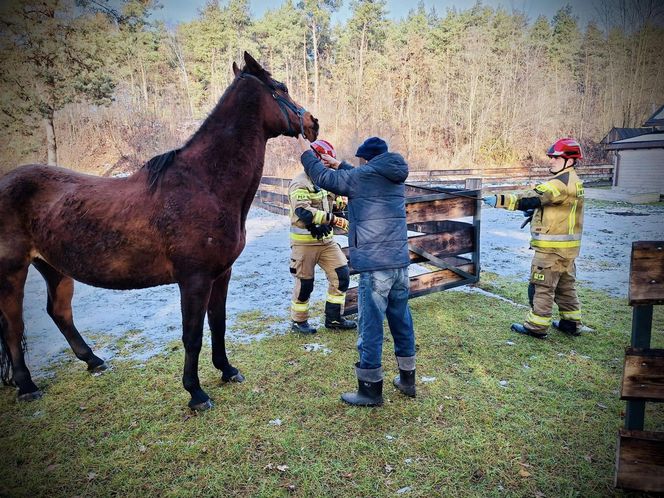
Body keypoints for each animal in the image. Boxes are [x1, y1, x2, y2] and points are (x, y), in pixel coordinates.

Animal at [0, 52, 320, 410]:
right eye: (282, 87)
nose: (313, 123)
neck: (204, 184)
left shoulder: (221, 274)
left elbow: (218, 324)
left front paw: (227, 370)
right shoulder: (194, 279)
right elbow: (192, 335)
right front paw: (195, 392)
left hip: (54, 267)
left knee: (59, 312)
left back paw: (94, 362)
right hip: (12, 272)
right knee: (13, 327)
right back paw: (27, 386)